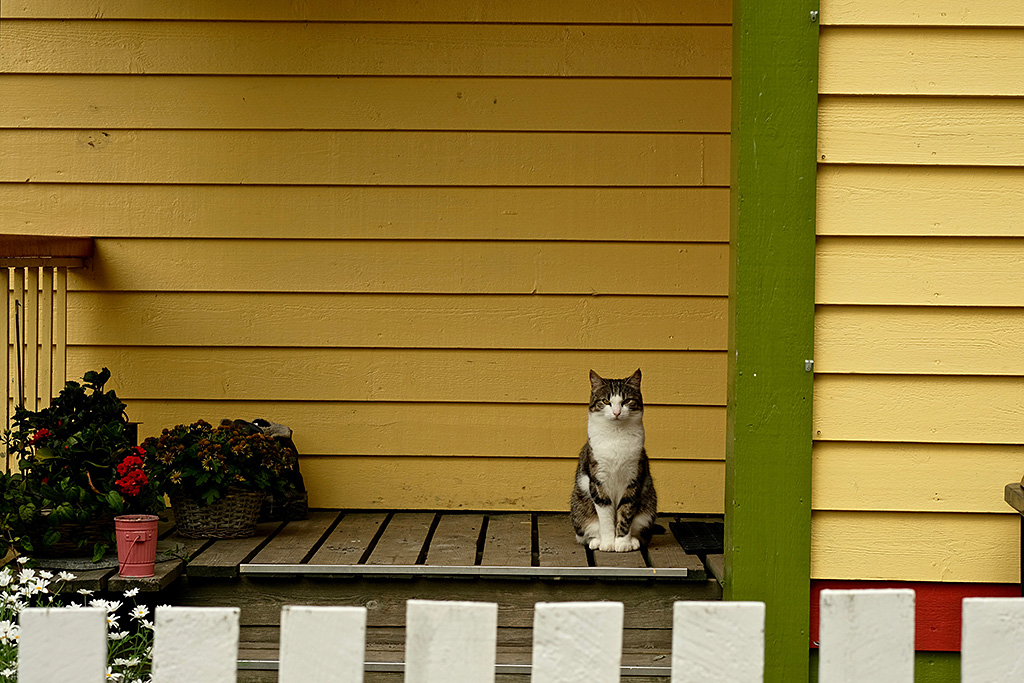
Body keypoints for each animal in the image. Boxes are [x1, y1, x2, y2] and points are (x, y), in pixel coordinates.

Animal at [569, 368, 655, 548]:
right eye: (606, 401)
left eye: (627, 400)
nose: (616, 412)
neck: (616, 435)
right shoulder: (598, 480)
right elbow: (606, 516)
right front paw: (608, 543)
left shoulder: (633, 478)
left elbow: (626, 511)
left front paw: (622, 542)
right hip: (579, 506)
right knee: (585, 533)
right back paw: (596, 540)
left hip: (649, 506)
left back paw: (634, 540)